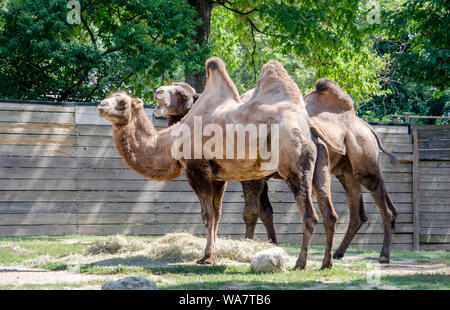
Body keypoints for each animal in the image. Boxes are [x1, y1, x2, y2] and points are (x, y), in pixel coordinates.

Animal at [98, 57, 342, 270]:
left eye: (122, 102)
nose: (101, 105)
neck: (173, 138)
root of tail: (309, 126)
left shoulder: (197, 170)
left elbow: (207, 216)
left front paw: (206, 258)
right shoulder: (218, 177)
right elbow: (217, 215)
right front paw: (211, 256)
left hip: (294, 164)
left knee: (309, 214)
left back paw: (300, 263)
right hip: (320, 166)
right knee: (329, 212)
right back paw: (326, 263)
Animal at [154, 77, 398, 262]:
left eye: (183, 94)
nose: (158, 92)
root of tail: (368, 128)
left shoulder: (253, 177)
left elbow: (251, 212)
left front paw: (248, 245)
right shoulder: (259, 176)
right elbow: (266, 212)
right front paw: (272, 245)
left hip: (365, 162)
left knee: (384, 206)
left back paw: (383, 255)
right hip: (345, 172)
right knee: (357, 212)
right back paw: (337, 254)